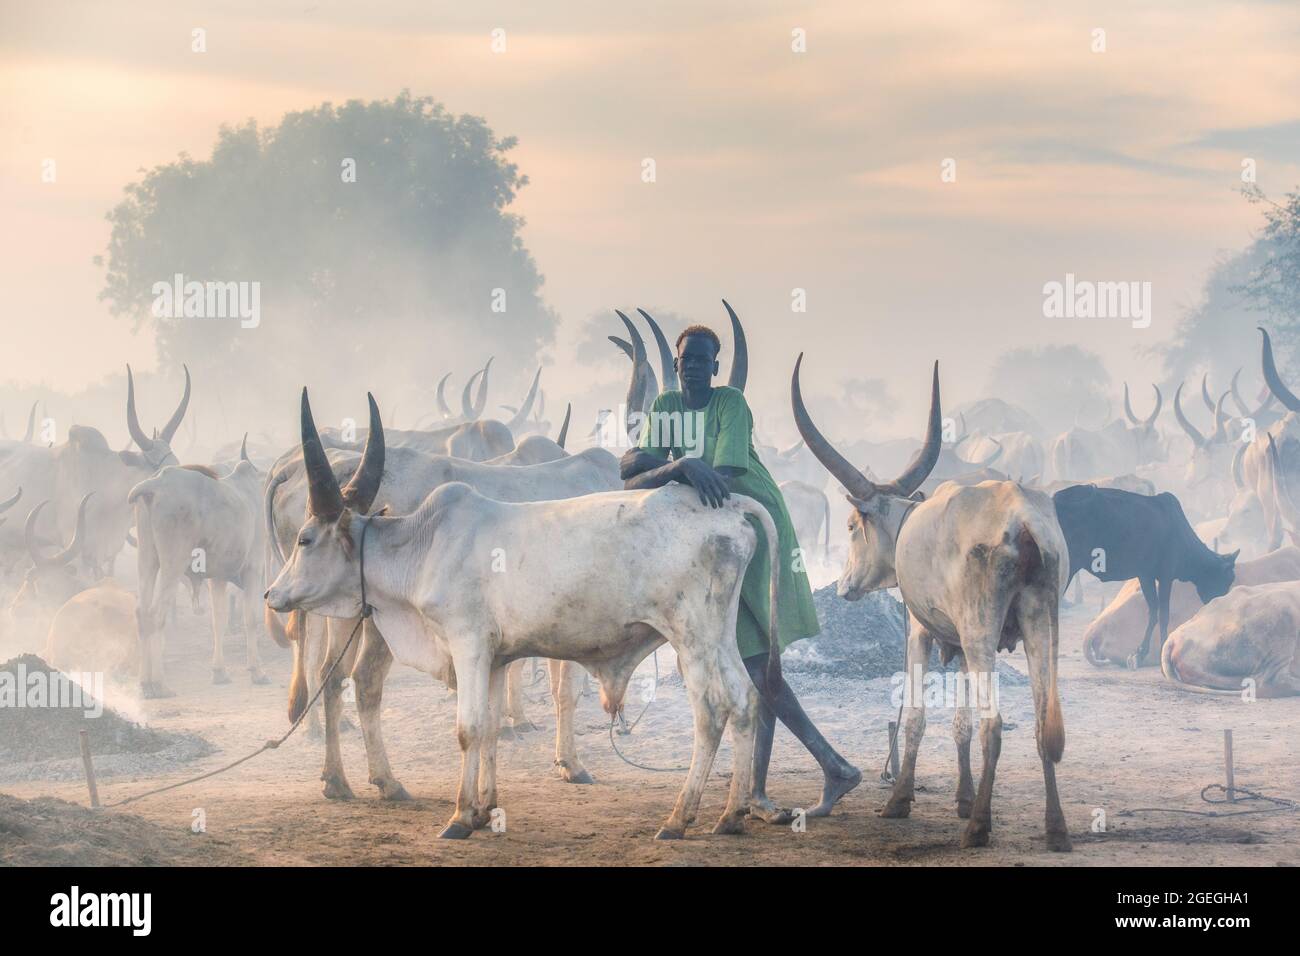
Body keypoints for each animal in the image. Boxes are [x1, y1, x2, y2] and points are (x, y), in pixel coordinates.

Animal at [128, 457, 268, 695]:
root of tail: (155, 484)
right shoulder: (253, 567)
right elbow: (250, 618)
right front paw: (257, 671)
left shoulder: (218, 577)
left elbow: (218, 621)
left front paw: (219, 672)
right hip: (173, 563)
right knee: (156, 614)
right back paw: (160, 684)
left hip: (147, 560)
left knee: (141, 613)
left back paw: (145, 683)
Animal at [267, 390, 778, 840]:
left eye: (306, 540)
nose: (272, 594)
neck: (427, 544)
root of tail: (731, 507)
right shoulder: (495, 657)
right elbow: (491, 728)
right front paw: (483, 809)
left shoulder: (468, 645)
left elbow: (469, 728)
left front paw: (458, 818)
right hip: (718, 636)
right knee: (747, 700)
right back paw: (731, 815)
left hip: (691, 637)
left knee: (711, 710)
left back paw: (679, 817)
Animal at [792, 356, 1072, 851]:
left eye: (851, 526)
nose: (844, 586)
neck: (909, 523)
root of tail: (1022, 520)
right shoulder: (957, 643)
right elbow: (960, 723)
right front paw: (962, 796)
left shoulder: (923, 632)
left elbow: (917, 718)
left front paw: (901, 799)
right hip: (1042, 626)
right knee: (1044, 725)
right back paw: (1055, 828)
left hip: (982, 632)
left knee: (994, 726)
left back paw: (979, 826)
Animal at [1053, 485, 1237, 669]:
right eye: (1226, 579)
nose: (1218, 605)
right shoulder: (1166, 575)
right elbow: (1163, 614)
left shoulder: (1145, 575)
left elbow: (1153, 611)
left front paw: (1139, 653)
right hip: (1069, 565)